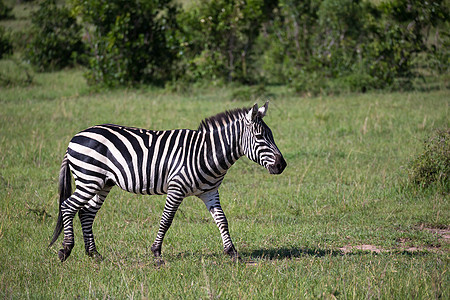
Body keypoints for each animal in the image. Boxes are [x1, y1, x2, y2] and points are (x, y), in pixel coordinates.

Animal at [49, 102, 286, 262]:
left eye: (271, 135)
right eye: (260, 137)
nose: (282, 165)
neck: (206, 152)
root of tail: (75, 137)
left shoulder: (210, 192)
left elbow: (222, 220)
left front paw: (232, 252)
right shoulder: (176, 188)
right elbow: (167, 220)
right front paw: (156, 252)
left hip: (102, 183)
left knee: (86, 213)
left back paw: (94, 254)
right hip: (89, 179)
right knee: (68, 207)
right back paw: (65, 250)